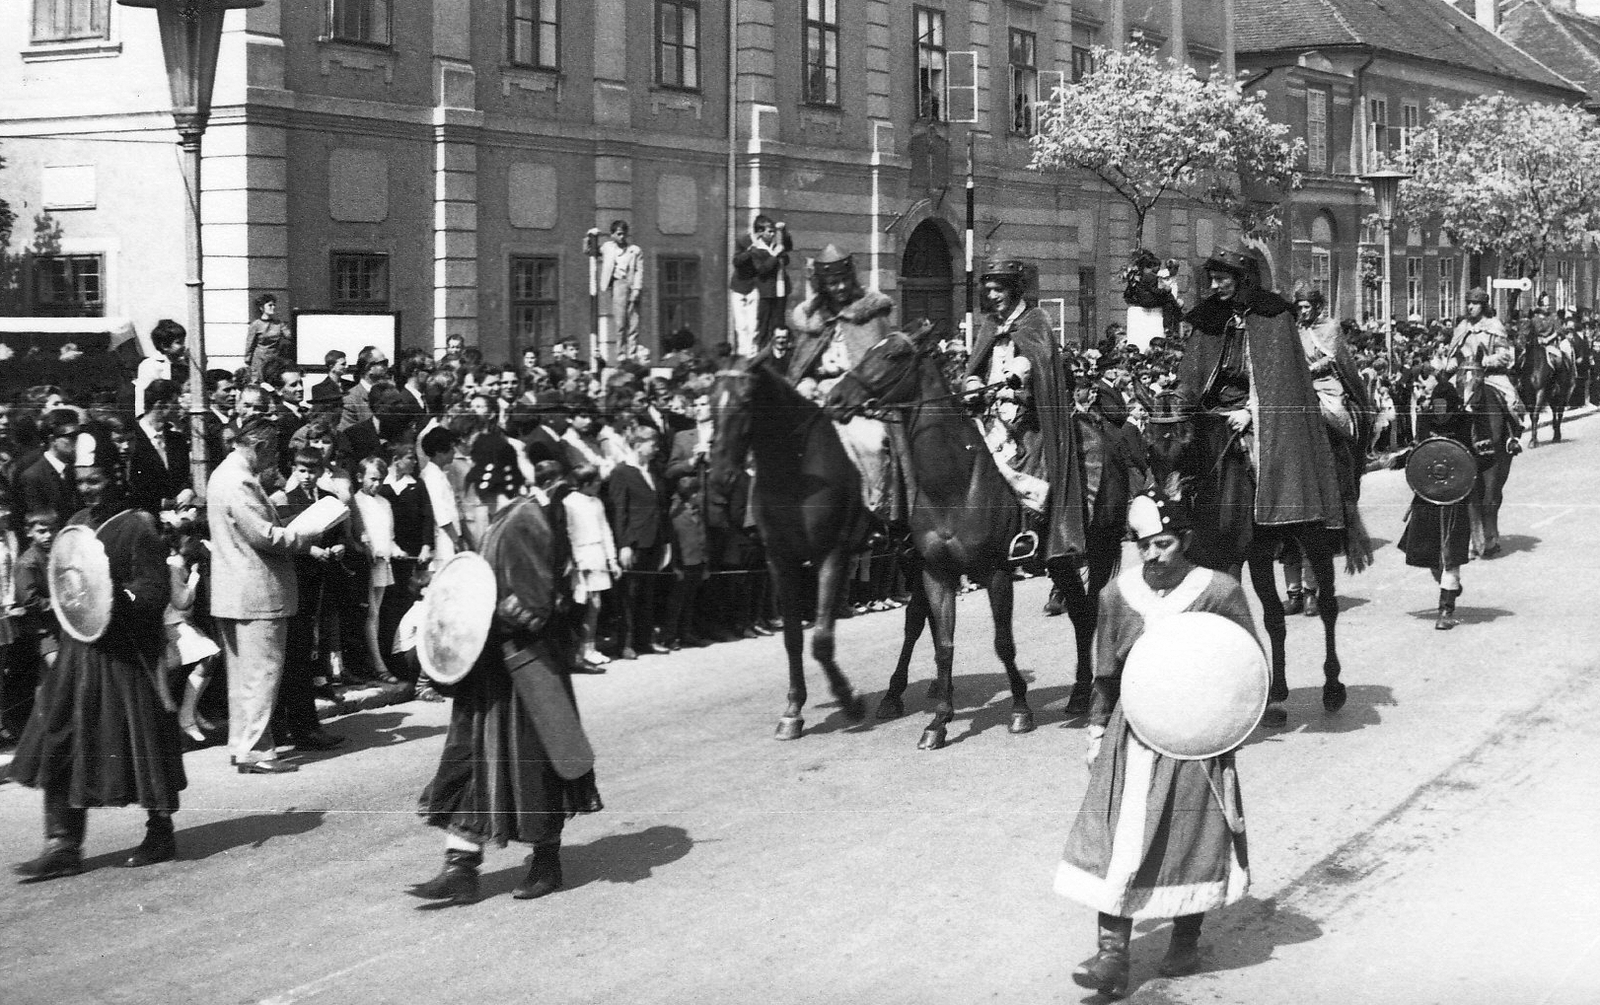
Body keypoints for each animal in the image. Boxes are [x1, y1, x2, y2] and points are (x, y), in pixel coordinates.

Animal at [710, 353, 870, 739]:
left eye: (745, 401)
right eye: (709, 400)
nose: (720, 477)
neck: (795, 471)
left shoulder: (831, 555)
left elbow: (821, 640)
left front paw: (849, 699)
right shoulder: (781, 561)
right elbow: (793, 638)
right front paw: (793, 710)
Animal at [825, 326, 1036, 748]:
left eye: (893, 356)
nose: (836, 398)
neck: (954, 486)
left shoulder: (997, 572)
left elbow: (1003, 642)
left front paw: (1020, 708)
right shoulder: (935, 571)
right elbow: (943, 644)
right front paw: (939, 721)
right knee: (915, 621)